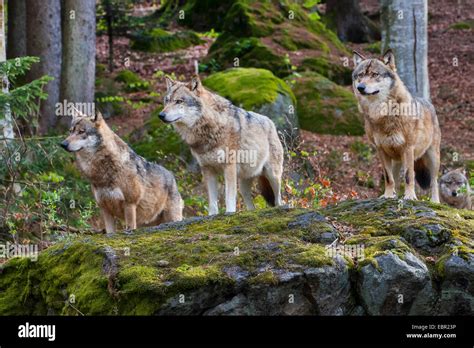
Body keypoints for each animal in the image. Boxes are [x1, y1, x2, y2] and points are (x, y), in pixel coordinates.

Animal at [159, 75, 286, 213]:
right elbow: (212, 202)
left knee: (279, 199)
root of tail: (270, 122)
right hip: (243, 184)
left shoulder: (229, 167)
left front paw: (229, 213)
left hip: (273, 176)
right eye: (167, 101)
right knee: (251, 205)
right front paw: (212, 215)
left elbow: (229, 198)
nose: (161, 115)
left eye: (179, 101)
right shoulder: (207, 169)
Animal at [352, 49, 440, 201]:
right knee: (396, 180)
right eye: (361, 75)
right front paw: (388, 196)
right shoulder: (380, 150)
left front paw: (410, 196)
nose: (360, 87)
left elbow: (409, 176)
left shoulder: (408, 148)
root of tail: (429, 102)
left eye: (374, 74)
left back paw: (435, 201)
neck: (383, 114)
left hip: (433, 158)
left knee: (434, 181)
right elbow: (389, 178)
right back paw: (393, 195)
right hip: (396, 160)